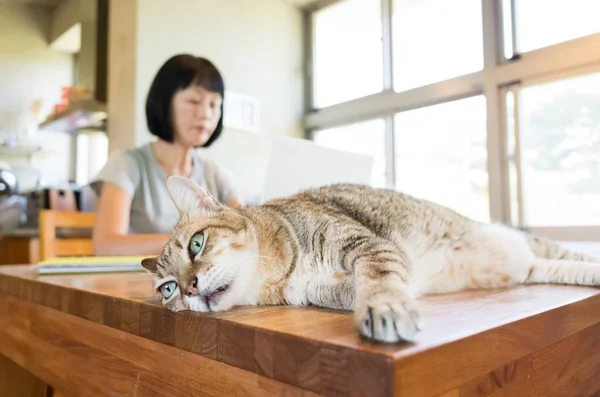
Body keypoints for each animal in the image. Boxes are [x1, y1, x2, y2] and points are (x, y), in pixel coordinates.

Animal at [139, 175, 600, 342]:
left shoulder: (368, 247)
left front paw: (387, 308)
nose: (190, 289)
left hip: (534, 244)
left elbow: (380, 280)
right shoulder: (316, 289)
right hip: (531, 265)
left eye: (196, 244)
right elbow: (351, 289)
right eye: (168, 289)